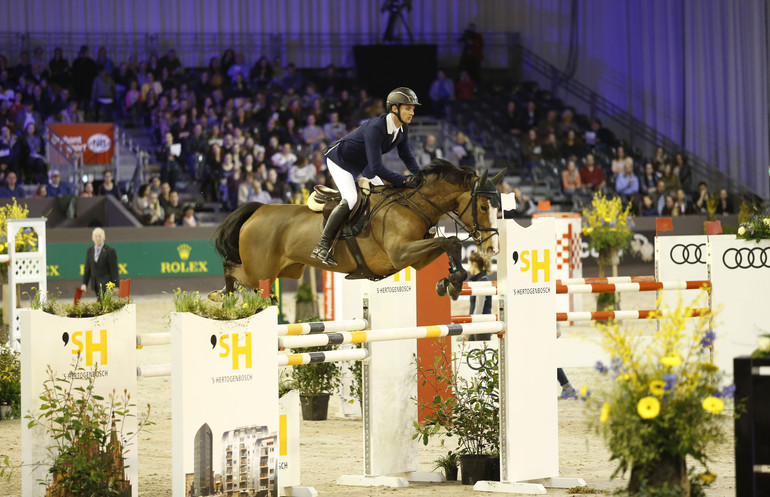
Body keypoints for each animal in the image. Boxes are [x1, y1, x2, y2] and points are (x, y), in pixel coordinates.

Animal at [210, 158, 504, 298]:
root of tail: (258, 210)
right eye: (482, 207)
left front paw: (450, 282)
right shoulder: (400, 254)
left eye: (498, 207)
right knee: (230, 268)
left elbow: (449, 243)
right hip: (259, 272)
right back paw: (219, 296)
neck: (414, 203)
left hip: (287, 271)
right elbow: (450, 241)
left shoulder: (415, 258)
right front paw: (452, 283)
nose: (492, 248)